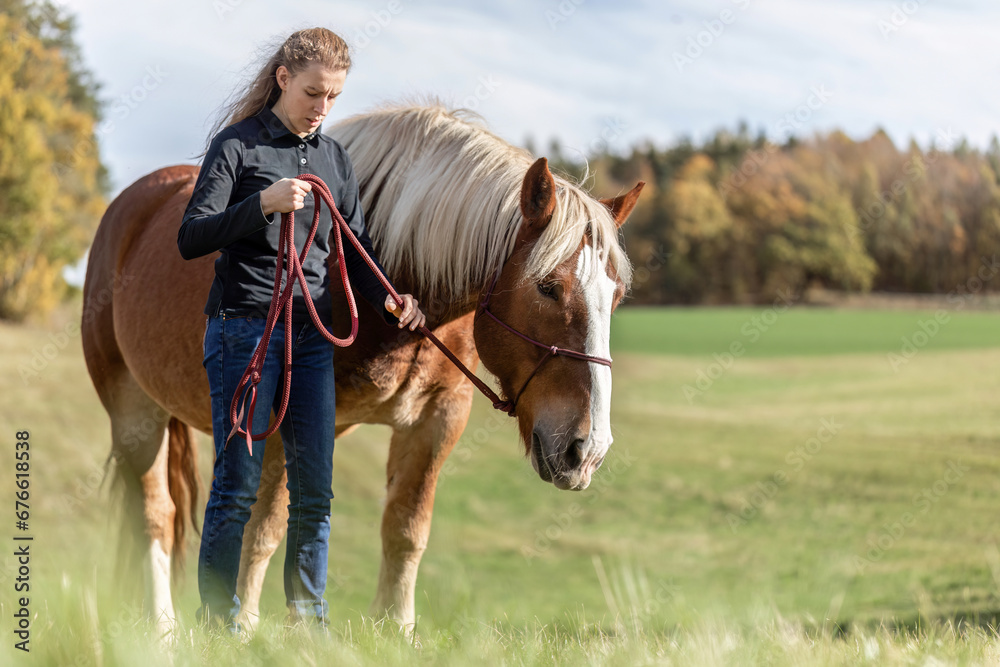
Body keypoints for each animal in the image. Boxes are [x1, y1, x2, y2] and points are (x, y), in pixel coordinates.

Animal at [78, 103, 640, 636]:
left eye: (616, 297)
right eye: (547, 286)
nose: (587, 449)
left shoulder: (437, 420)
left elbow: (405, 530)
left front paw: (395, 627)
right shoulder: (281, 421)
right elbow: (263, 530)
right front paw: (245, 630)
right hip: (134, 411)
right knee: (156, 515)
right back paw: (163, 627)